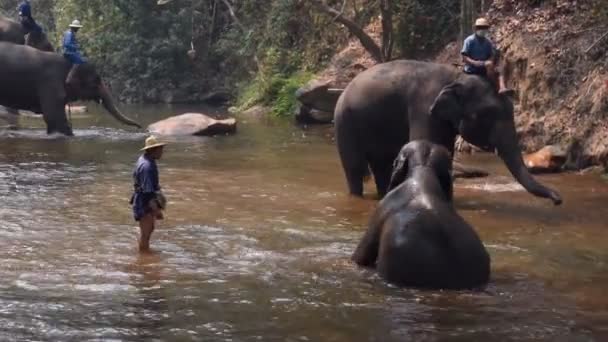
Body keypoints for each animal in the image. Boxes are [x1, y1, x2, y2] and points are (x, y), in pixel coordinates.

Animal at [334, 59, 564, 206]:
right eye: (488, 115)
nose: (558, 200)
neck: (457, 77)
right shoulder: (424, 107)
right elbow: (424, 143)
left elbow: (444, 152)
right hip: (345, 123)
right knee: (355, 168)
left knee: (382, 165)